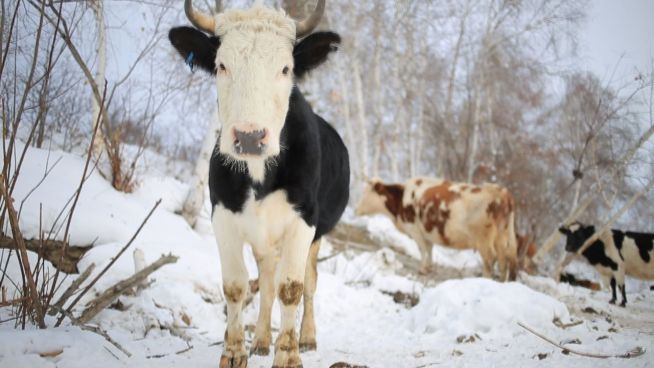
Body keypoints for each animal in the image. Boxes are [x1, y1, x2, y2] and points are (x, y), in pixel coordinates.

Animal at [170, 1, 354, 366]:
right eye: (221, 65)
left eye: (285, 69)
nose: (250, 138)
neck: (259, 175)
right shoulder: (223, 216)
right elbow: (236, 285)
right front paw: (234, 351)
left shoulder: (303, 222)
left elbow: (292, 287)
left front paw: (288, 356)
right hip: (264, 239)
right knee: (267, 281)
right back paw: (261, 339)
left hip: (317, 236)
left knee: (309, 282)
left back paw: (307, 337)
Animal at [356, 177, 520, 280]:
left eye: (366, 193)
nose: (356, 209)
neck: (401, 200)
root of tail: (503, 193)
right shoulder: (426, 233)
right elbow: (429, 250)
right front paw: (428, 268)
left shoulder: (416, 231)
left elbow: (422, 250)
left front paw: (422, 269)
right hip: (502, 236)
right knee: (504, 258)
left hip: (484, 240)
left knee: (491, 258)